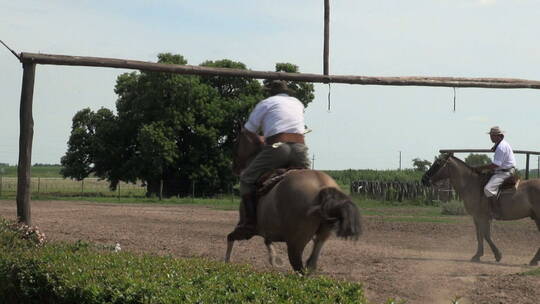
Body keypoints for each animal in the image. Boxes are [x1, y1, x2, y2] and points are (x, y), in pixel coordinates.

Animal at [224, 131, 362, 274]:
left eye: (236, 143)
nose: (233, 167)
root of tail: (321, 185)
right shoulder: (267, 231)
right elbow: (267, 241)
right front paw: (274, 259)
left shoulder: (246, 229)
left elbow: (230, 237)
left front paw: (227, 263)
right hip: (320, 236)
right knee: (310, 264)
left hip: (295, 244)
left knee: (299, 268)